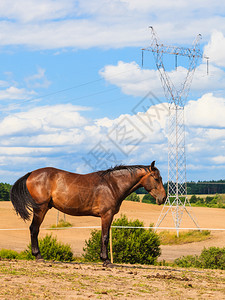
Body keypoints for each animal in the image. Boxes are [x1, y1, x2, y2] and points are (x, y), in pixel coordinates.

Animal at [10, 161, 165, 266]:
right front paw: (106, 261)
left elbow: (105, 236)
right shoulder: (106, 215)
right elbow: (105, 237)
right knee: (34, 229)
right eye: (156, 178)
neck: (112, 185)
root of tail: (31, 173)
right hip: (40, 209)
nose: (163, 198)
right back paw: (39, 256)